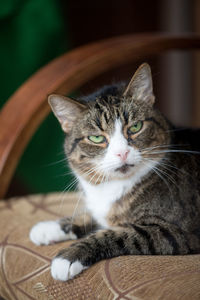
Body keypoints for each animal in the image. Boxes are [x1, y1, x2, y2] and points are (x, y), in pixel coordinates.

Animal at [28, 63, 200, 282]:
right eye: (96, 138)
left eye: (135, 127)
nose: (122, 152)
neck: (114, 186)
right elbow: (92, 217)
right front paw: (48, 228)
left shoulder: (175, 231)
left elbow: (117, 234)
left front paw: (68, 257)